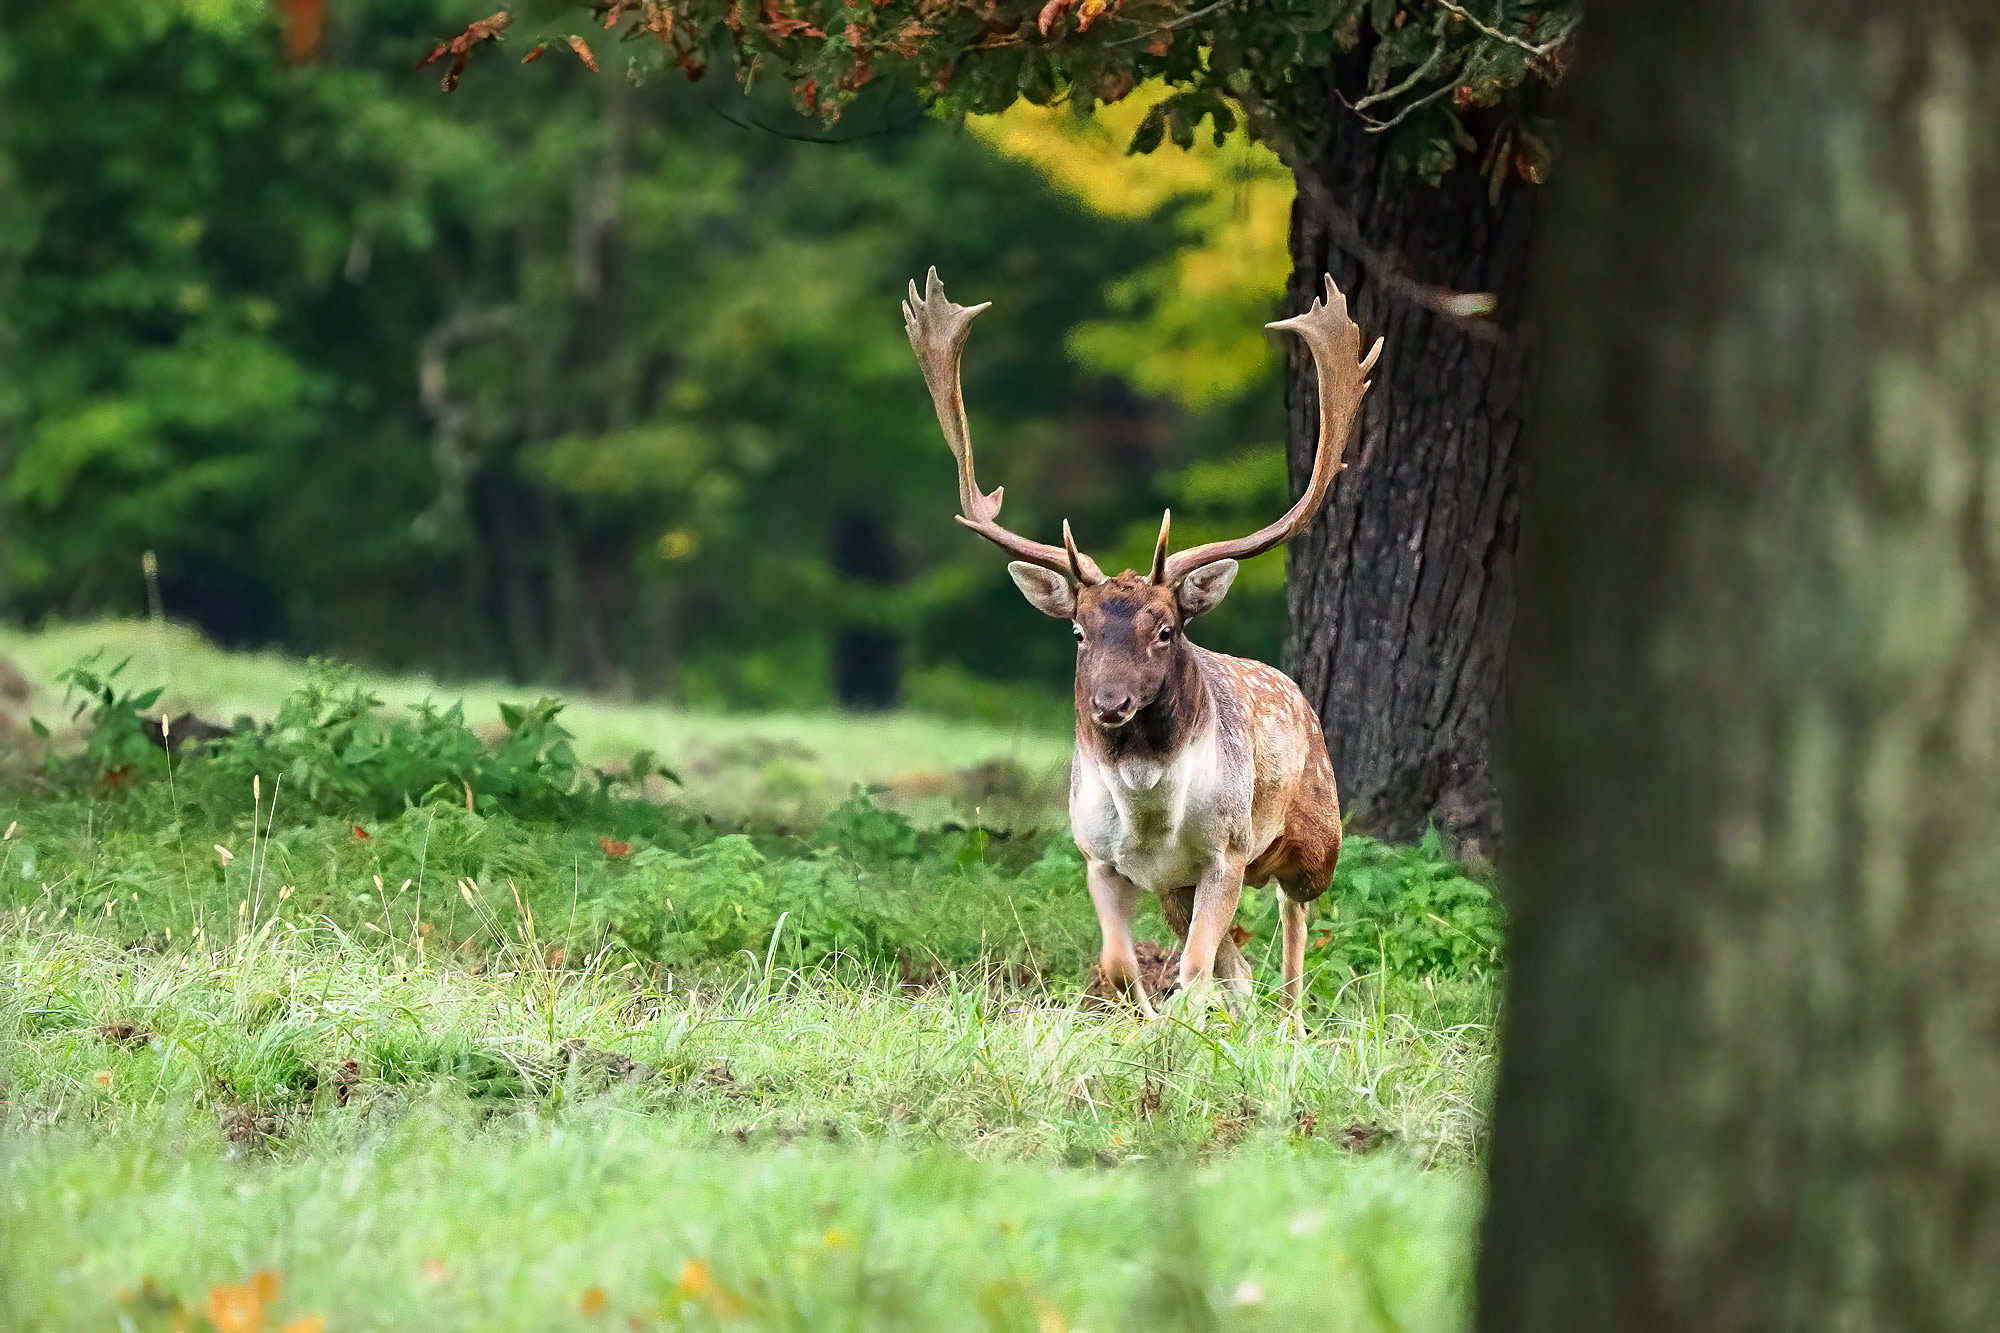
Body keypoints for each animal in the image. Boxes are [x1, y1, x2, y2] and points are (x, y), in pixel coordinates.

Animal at [904, 262, 1384, 1024]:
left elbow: (1193, 968)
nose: (1109, 703)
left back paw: (1291, 1022)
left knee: (1293, 922)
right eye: (1078, 630)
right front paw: (1149, 1023)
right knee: (1237, 964)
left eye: (1166, 630)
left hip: (1317, 833)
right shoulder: (1100, 857)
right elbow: (1124, 962)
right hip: (1178, 888)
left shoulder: (1225, 851)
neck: (1151, 812)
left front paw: (1181, 1029)